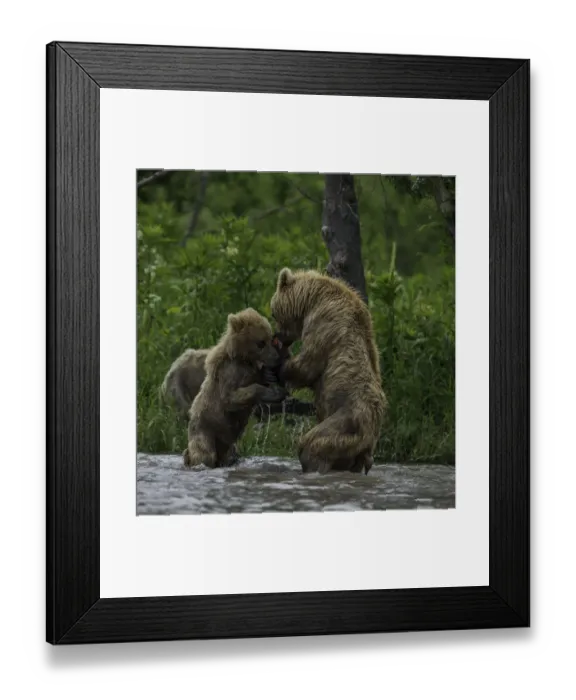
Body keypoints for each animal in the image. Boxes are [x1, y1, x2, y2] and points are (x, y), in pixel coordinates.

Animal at [183, 307, 288, 469]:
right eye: (261, 343)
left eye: (270, 338)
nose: (276, 357)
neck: (242, 357)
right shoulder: (229, 374)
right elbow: (231, 398)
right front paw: (276, 392)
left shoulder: (247, 370)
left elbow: (257, 377)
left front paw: (269, 376)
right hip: (205, 430)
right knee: (204, 454)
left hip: (226, 444)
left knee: (229, 454)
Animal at [270, 267, 387, 475]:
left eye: (273, 313)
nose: (279, 336)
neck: (311, 300)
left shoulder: (324, 322)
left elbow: (307, 364)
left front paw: (282, 366)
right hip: (356, 446)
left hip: (344, 422)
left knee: (311, 445)